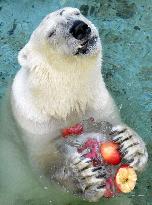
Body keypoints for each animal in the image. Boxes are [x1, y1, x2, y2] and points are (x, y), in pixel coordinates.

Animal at [9, 7, 147, 203]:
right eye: (51, 33)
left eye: (76, 12)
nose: (80, 28)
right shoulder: (32, 120)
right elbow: (42, 163)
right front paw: (82, 176)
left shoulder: (99, 102)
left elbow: (113, 125)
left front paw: (132, 143)